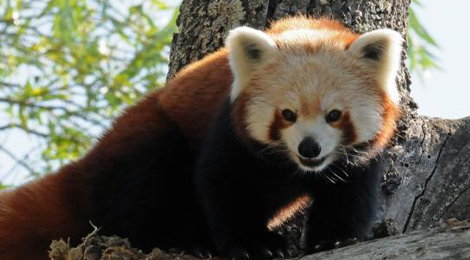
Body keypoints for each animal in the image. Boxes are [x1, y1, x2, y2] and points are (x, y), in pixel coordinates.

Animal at [0, 16, 404, 260]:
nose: (309, 148)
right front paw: (254, 244)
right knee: (146, 188)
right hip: (148, 140)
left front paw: (334, 237)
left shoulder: (359, 155)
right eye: (287, 114)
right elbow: (223, 185)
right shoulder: (227, 129)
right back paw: (180, 240)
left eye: (334, 115)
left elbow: (350, 193)